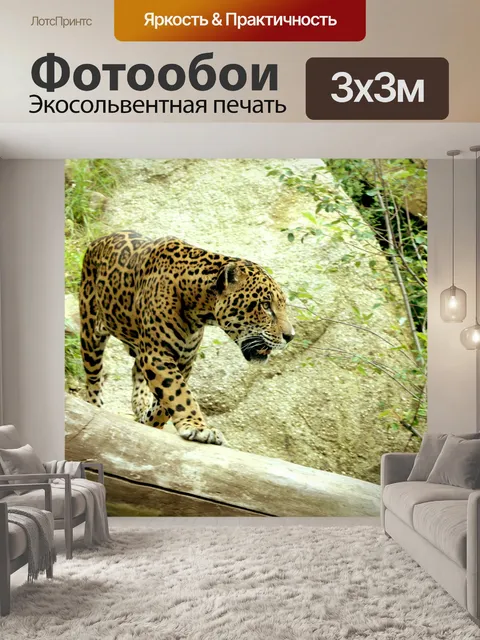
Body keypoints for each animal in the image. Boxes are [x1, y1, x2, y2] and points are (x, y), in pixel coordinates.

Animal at [79, 231, 295, 445]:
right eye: (265, 306)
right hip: (90, 333)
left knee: (135, 369)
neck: (199, 307)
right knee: (94, 375)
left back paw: (140, 403)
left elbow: (165, 403)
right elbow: (179, 393)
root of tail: (98, 240)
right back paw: (94, 405)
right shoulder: (157, 355)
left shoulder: (184, 360)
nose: (290, 336)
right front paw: (199, 428)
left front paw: (150, 422)